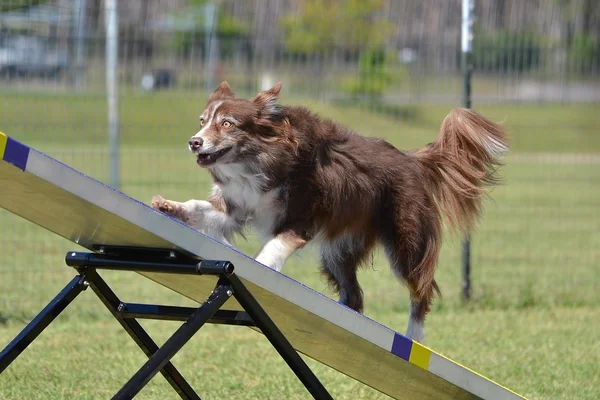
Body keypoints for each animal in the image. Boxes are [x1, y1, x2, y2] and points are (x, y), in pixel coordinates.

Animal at [152, 82, 508, 344]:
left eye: (227, 124)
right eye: (202, 122)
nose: (194, 142)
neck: (257, 161)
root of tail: (412, 158)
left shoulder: (303, 216)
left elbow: (274, 246)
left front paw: (261, 266)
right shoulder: (235, 207)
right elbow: (204, 210)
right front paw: (170, 206)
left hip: (406, 240)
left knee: (422, 288)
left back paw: (413, 335)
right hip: (340, 251)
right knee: (355, 294)